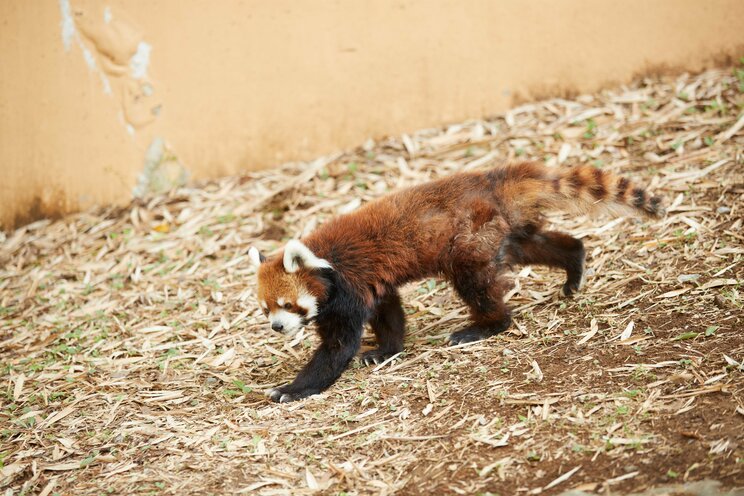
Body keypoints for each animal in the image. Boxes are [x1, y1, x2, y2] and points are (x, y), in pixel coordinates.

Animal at [250, 163, 664, 404]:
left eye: (287, 306)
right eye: (265, 309)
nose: (277, 327)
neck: (326, 260)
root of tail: (487, 181)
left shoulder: (349, 288)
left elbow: (337, 348)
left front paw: (292, 389)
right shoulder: (373, 285)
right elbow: (389, 313)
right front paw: (386, 350)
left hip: (468, 241)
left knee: (477, 285)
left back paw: (485, 326)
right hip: (500, 231)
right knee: (531, 246)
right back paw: (574, 265)